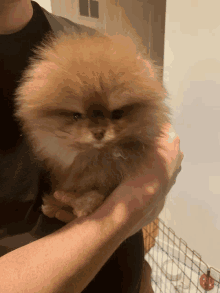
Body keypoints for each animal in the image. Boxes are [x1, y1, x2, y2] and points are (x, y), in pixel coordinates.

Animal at [13, 30, 171, 217]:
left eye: (117, 114)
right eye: (76, 116)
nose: (98, 132)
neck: (96, 156)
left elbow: (95, 193)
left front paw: (85, 203)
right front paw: (54, 205)